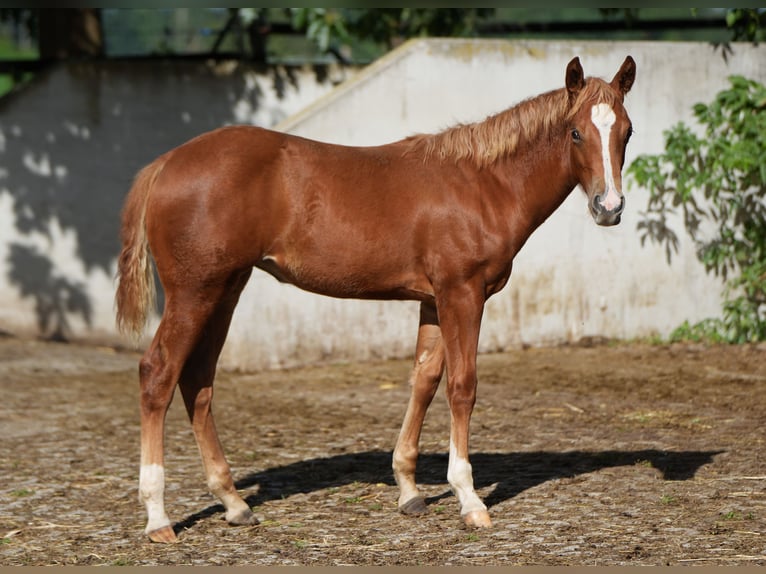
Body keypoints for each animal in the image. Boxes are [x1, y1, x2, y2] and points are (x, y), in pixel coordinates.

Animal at [117, 55, 640, 544]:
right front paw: (469, 500)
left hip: (226, 289)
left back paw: (233, 502)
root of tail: (165, 164)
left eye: (628, 132)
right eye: (575, 132)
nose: (609, 208)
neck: (483, 183)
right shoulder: (462, 293)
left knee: (198, 380)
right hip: (195, 292)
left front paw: (409, 491)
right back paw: (158, 517)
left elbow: (424, 380)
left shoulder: (432, 300)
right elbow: (462, 386)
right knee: (158, 373)